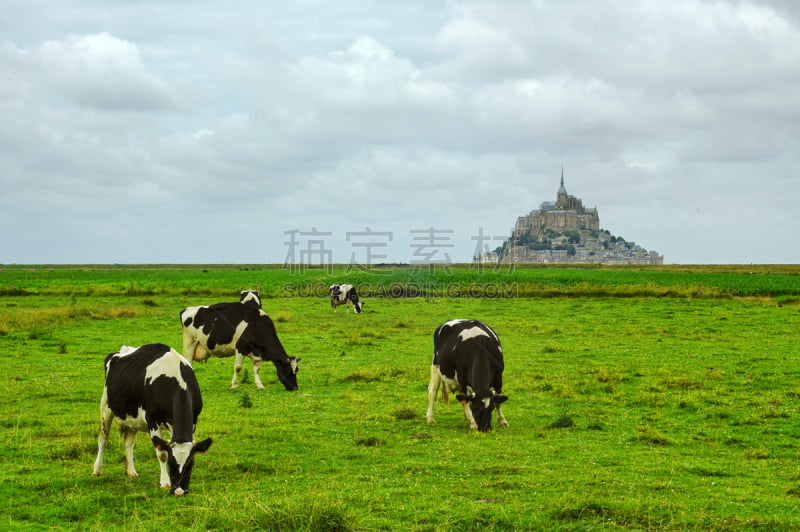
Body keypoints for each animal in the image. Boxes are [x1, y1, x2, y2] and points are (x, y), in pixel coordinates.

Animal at [91, 342, 212, 496]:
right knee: (103, 437)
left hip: (133, 418)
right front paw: (165, 482)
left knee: (128, 442)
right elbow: (162, 454)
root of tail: (120, 351)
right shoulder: (152, 420)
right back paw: (97, 469)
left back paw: (131, 471)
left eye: (190, 465)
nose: (179, 492)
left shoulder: (193, 421)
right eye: (171, 463)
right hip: (106, 406)